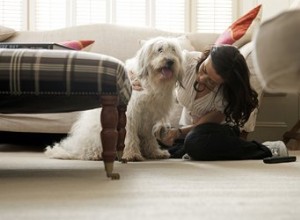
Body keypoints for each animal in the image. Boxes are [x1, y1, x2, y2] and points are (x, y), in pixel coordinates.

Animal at [45, 37, 183, 162]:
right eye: (160, 50)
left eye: (173, 50)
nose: (170, 61)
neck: (151, 82)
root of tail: (75, 149)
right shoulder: (130, 116)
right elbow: (129, 136)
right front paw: (131, 154)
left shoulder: (149, 119)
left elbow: (150, 138)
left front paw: (155, 152)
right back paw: (96, 155)